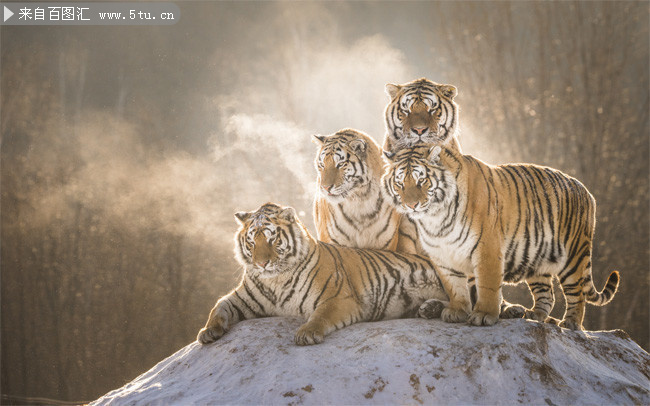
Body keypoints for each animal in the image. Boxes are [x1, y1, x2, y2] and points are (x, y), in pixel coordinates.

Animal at [196, 202, 446, 346]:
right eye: (251, 242)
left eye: (271, 238)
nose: (262, 263)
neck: (275, 279)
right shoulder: (241, 298)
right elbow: (218, 306)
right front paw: (208, 332)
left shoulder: (339, 298)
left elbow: (321, 315)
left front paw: (306, 333)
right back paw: (430, 308)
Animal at [380, 144, 616, 328]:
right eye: (400, 183)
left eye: (422, 181)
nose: (411, 205)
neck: (435, 219)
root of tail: (586, 190)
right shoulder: (442, 255)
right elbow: (454, 287)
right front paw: (457, 311)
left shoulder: (487, 248)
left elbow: (487, 285)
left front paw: (484, 315)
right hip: (538, 260)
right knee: (546, 295)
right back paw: (535, 315)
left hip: (573, 256)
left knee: (577, 293)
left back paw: (571, 323)